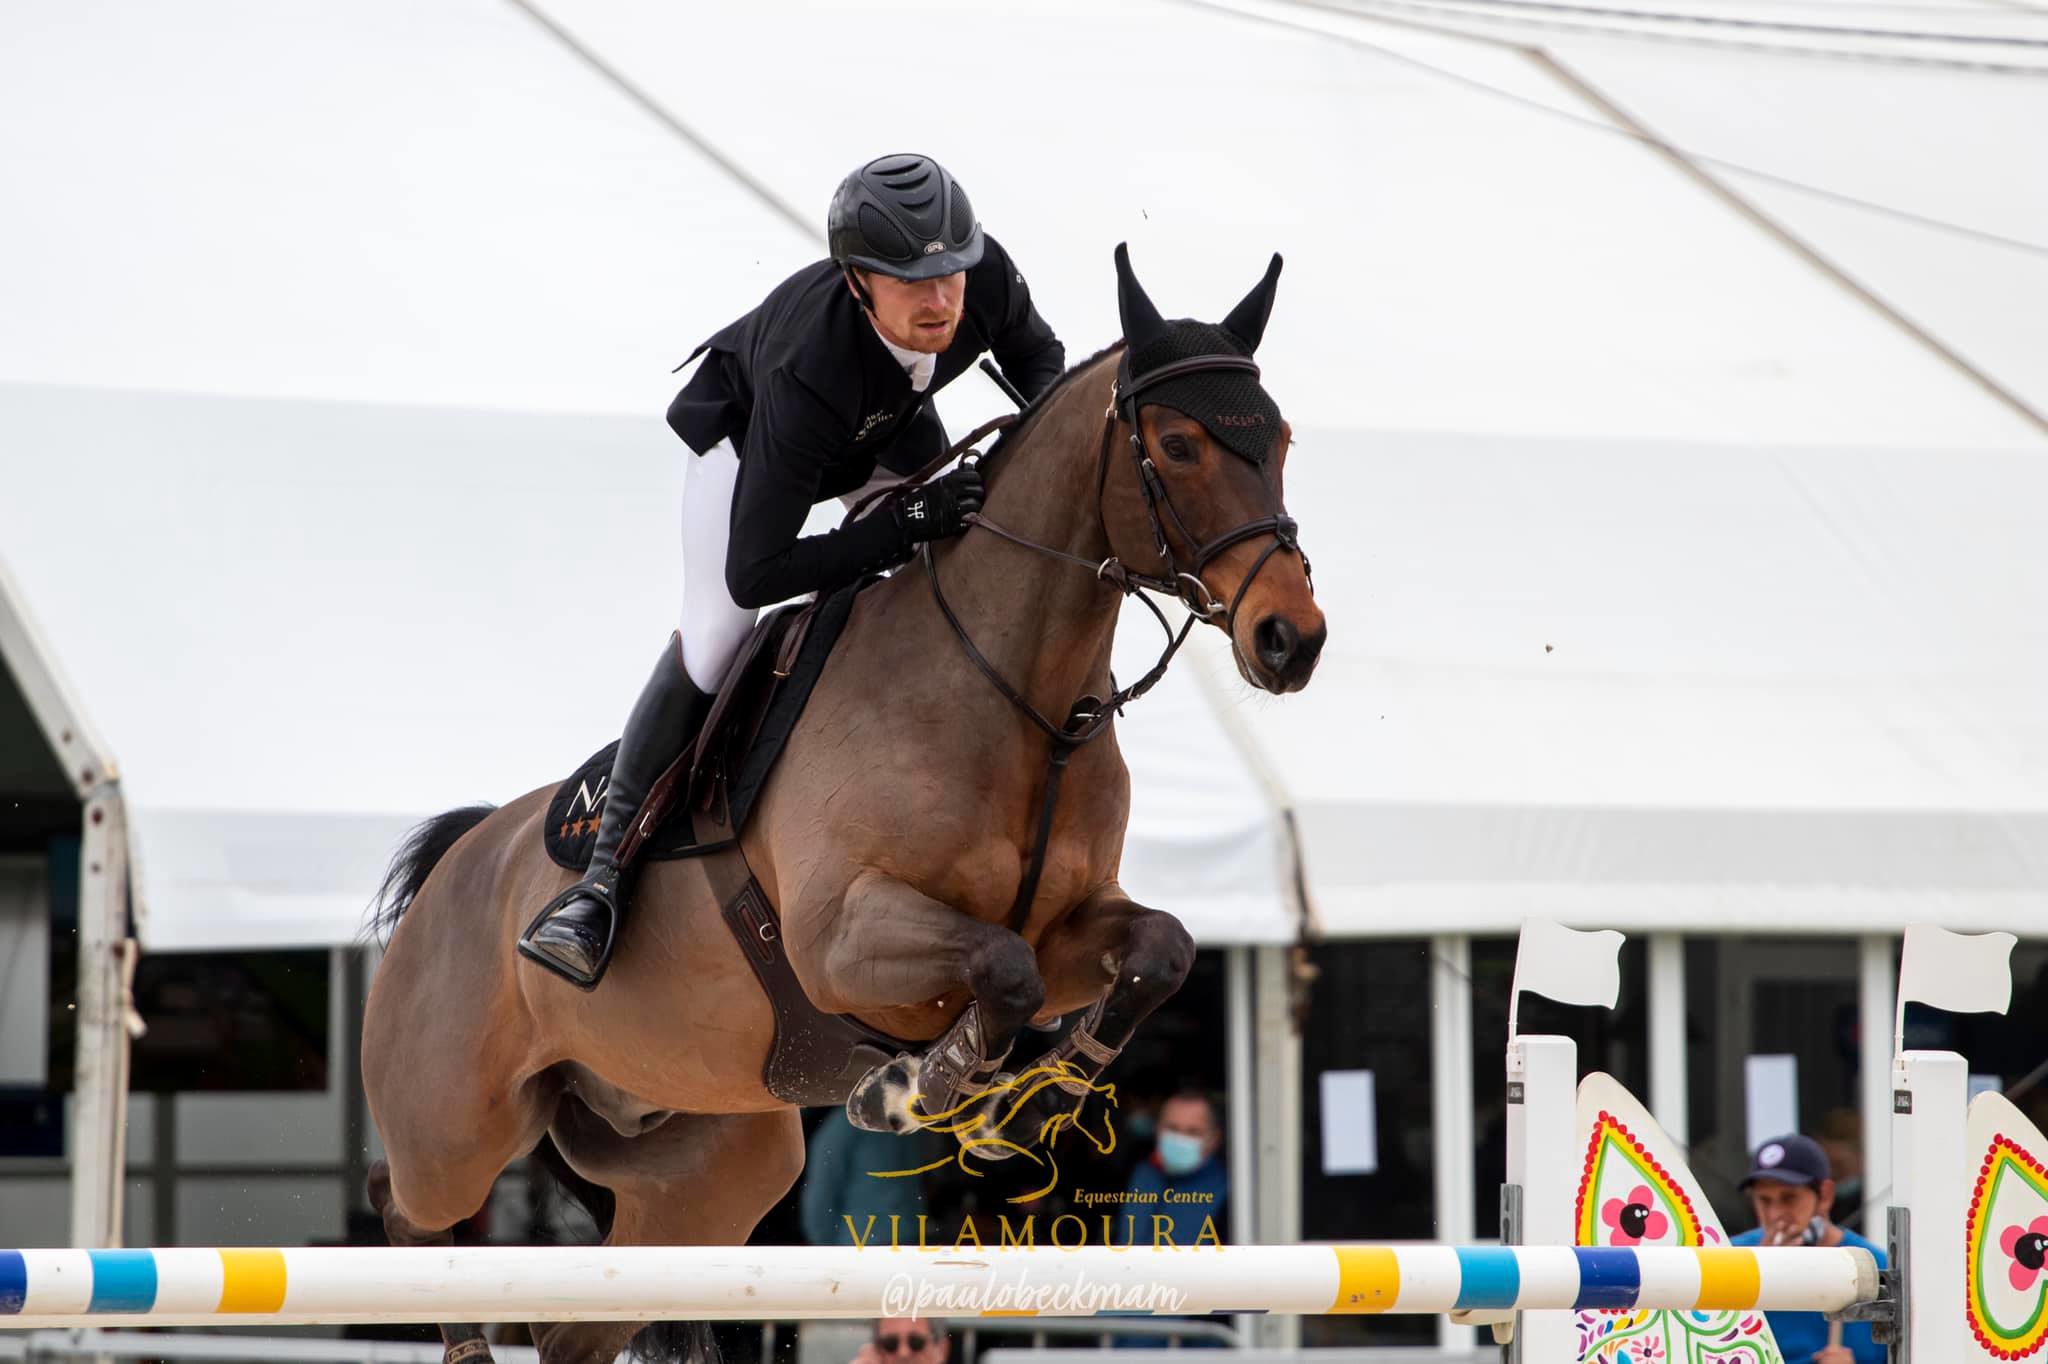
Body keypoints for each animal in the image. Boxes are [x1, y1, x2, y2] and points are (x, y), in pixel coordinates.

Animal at [360, 246, 1327, 1359]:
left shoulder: (1073, 925)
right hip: (454, 1130)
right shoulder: (841, 940)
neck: (1016, 696)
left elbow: (1151, 950)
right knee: (409, 1209)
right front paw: (916, 1087)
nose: (1290, 639)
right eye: (1176, 444)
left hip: (705, 1162)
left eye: (1279, 440)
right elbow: (999, 966)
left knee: (578, 1322)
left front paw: (1023, 1104)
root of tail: (460, 858)